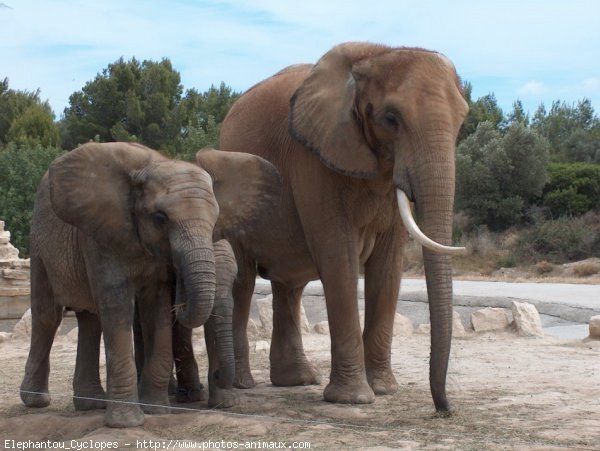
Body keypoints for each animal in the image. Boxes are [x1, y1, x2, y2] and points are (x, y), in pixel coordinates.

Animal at [19, 143, 278, 430]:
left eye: (216, 218)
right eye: (160, 218)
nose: (223, 376)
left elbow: (157, 310)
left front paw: (160, 408)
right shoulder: (102, 236)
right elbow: (117, 304)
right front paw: (127, 422)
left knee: (90, 320)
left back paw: (92, 403)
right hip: (39, 245)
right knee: (47, 316)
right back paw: (37, 401)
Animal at [219, 43, 468, 414]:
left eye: (462, 120)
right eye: (391, 118)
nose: (444, 409)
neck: (376, 54)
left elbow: (388, 267)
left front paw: (384, 390)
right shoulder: (314, 159)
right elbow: (339, 257)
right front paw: (354, 399)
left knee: (289, 287)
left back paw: (298, 380)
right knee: (243, 281)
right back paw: (242, 384)